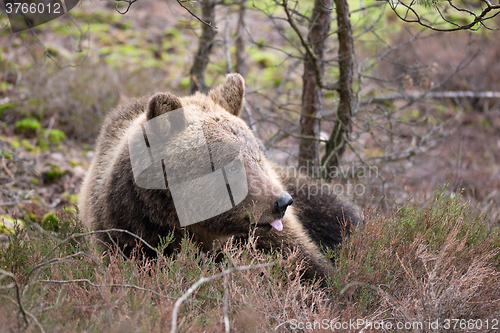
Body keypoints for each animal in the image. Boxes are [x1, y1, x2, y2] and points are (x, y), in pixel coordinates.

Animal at [77, 73, 360, 280]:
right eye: (231, 166)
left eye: (257, 157)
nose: (282, 202)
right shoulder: (130, 233)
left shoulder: (269, 238)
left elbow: (307, 265)